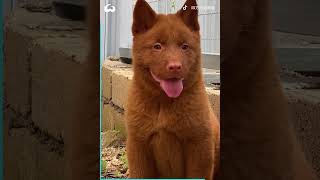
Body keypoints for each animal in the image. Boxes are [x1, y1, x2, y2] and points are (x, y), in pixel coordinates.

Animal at [125, 0, 220, 179]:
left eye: (184, 46)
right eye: (157, 46)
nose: (175, 66)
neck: (164, 104)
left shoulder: (199, 147)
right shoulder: (139, 146)